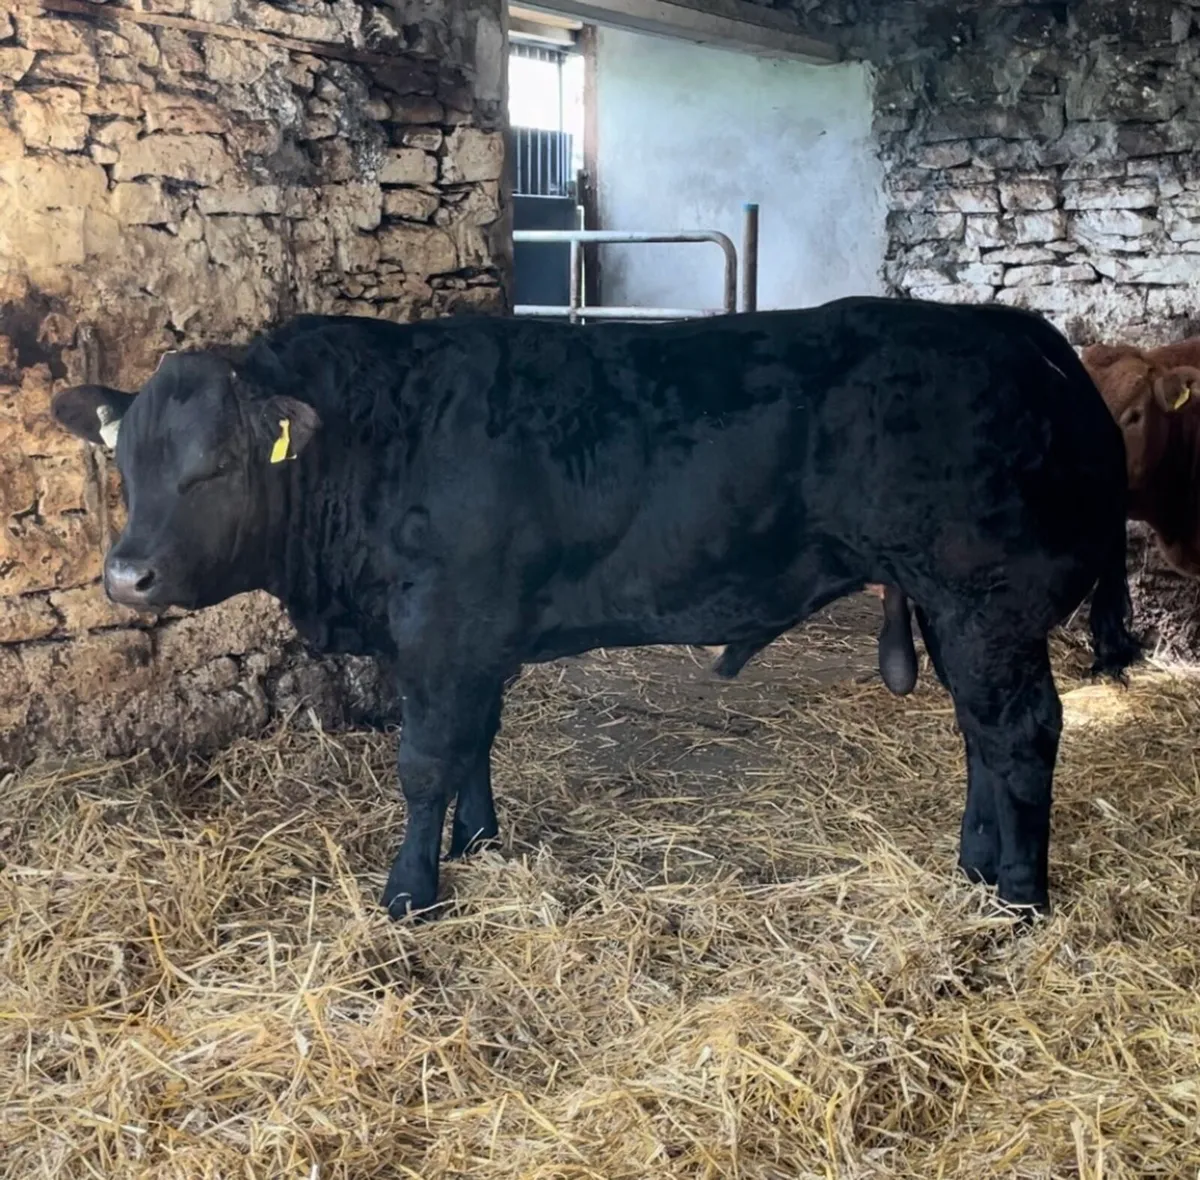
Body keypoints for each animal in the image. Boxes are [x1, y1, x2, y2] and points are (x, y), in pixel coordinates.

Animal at [48, 296, 1140, 922]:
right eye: (127, 462)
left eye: (217, 465)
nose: (126, 577)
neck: (382, 436)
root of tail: (1016, 329)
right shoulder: (467, 635)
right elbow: (475, 744)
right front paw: (480, 841)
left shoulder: (441, 625)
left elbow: (425, 761)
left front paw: (410, 892)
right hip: (962, 614)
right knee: (980, 735)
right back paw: (975, 863)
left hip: (989, 604)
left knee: (1022, 734)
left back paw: (1019, 896)